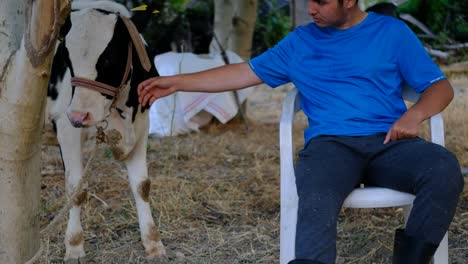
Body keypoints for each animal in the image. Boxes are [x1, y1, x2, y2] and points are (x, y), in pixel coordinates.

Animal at [47, 1, 166, 262]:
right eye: (66, 57)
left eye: (110, 57)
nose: (79, 116)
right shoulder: (66, 128)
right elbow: (76, 188)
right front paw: (74, 246)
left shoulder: (142, 125)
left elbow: (142, 185)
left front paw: (153, 243)